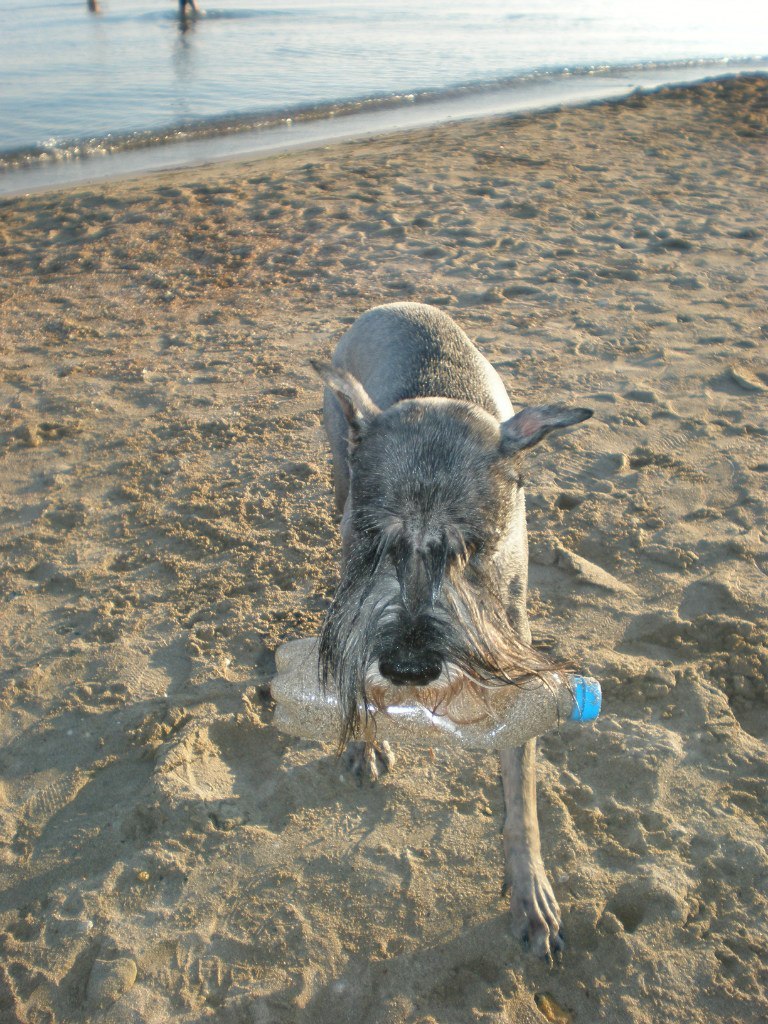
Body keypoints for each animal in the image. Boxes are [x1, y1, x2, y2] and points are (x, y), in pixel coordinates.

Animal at [315, 299, 593, 954]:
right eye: (372, 537)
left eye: (476, 545)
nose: (409, 667)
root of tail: (394, 304)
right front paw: (365, 740)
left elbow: (522, 798)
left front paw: (531, 892)